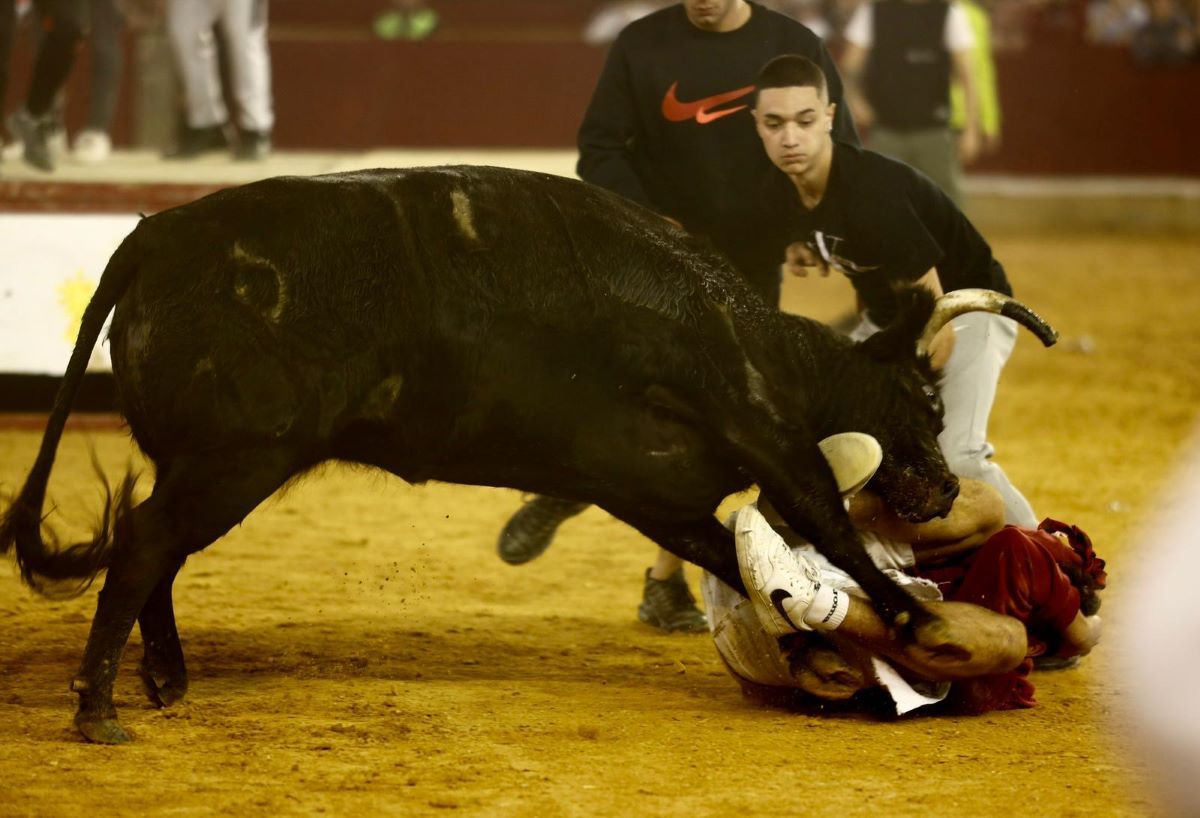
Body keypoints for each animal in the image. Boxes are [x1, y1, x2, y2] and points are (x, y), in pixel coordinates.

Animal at [0, 164, 1056, 738]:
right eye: (919, 398)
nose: (941, 489)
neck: (746, 331)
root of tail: (156, 235)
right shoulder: (763, 428)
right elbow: (825, 528)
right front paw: (915, 622)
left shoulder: (649, 488)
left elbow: (736, 556)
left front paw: (817, 653)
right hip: (236, 458)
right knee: (146, 546)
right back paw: (100, 711)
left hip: (205, 463)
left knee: (158, 552)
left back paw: (164, 682)